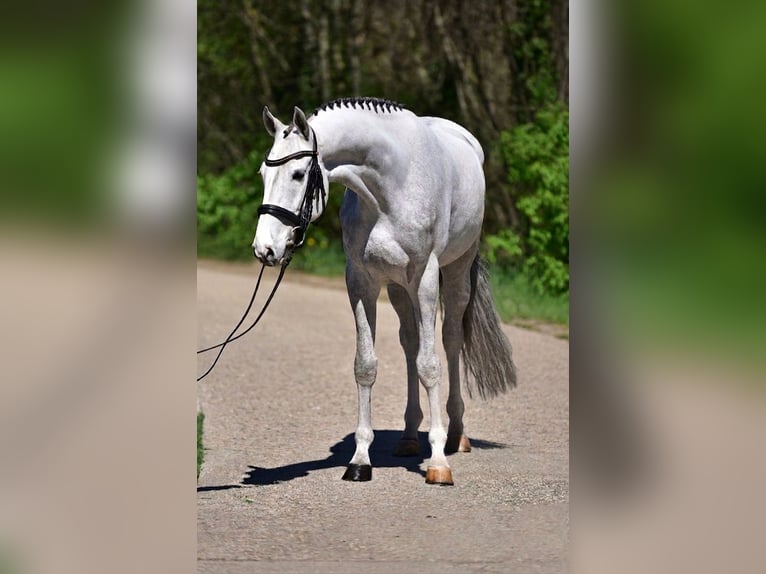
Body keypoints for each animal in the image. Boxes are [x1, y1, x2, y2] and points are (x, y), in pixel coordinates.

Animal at [253, 97, 516, 485]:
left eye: (298, 175)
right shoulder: (362, 282)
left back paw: (456, 435)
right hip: (397, 288)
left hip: (455, 274)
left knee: (450, 340)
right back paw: (408, 437)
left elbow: (430, 365)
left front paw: (439, 463)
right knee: (410, 343)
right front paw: (360, 460)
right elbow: (366, 365)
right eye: (262, 174)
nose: (265, 249)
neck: (389, 188)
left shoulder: (425, 279)